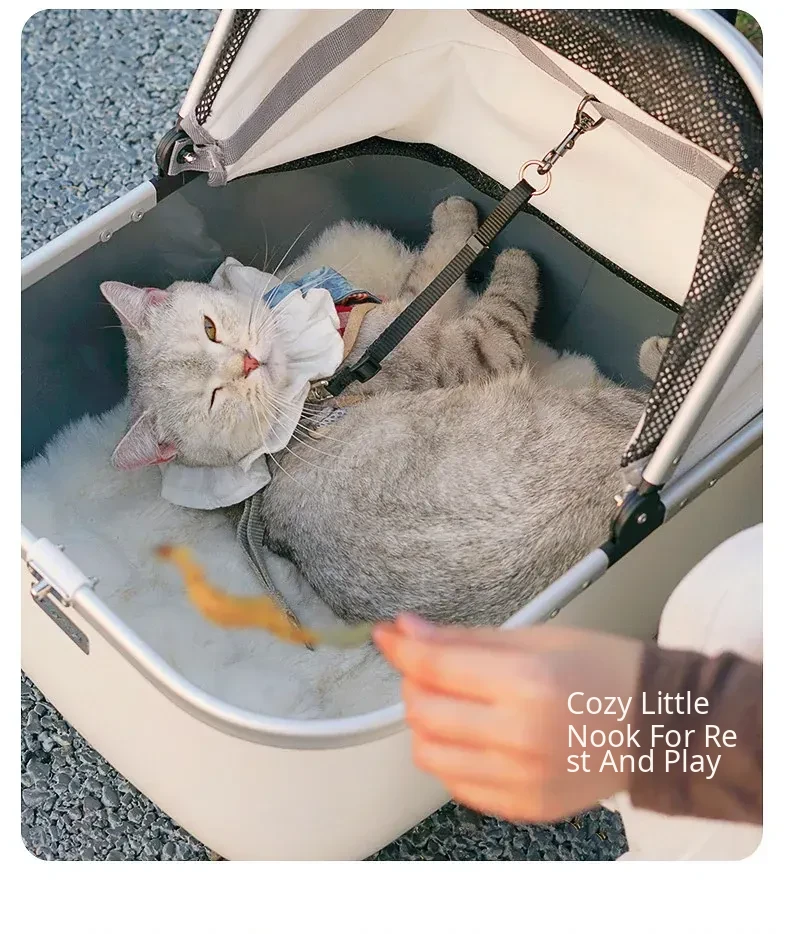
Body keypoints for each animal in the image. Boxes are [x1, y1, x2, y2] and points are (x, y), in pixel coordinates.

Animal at [101, 196, 667, 627]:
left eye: (210, 328)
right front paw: (491, 241)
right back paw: (659, 352)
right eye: (215, 399)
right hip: (600, 417)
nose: (247, 362)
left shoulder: (406, 315)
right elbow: (473, 285)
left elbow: (436, 276)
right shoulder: (460, 348)